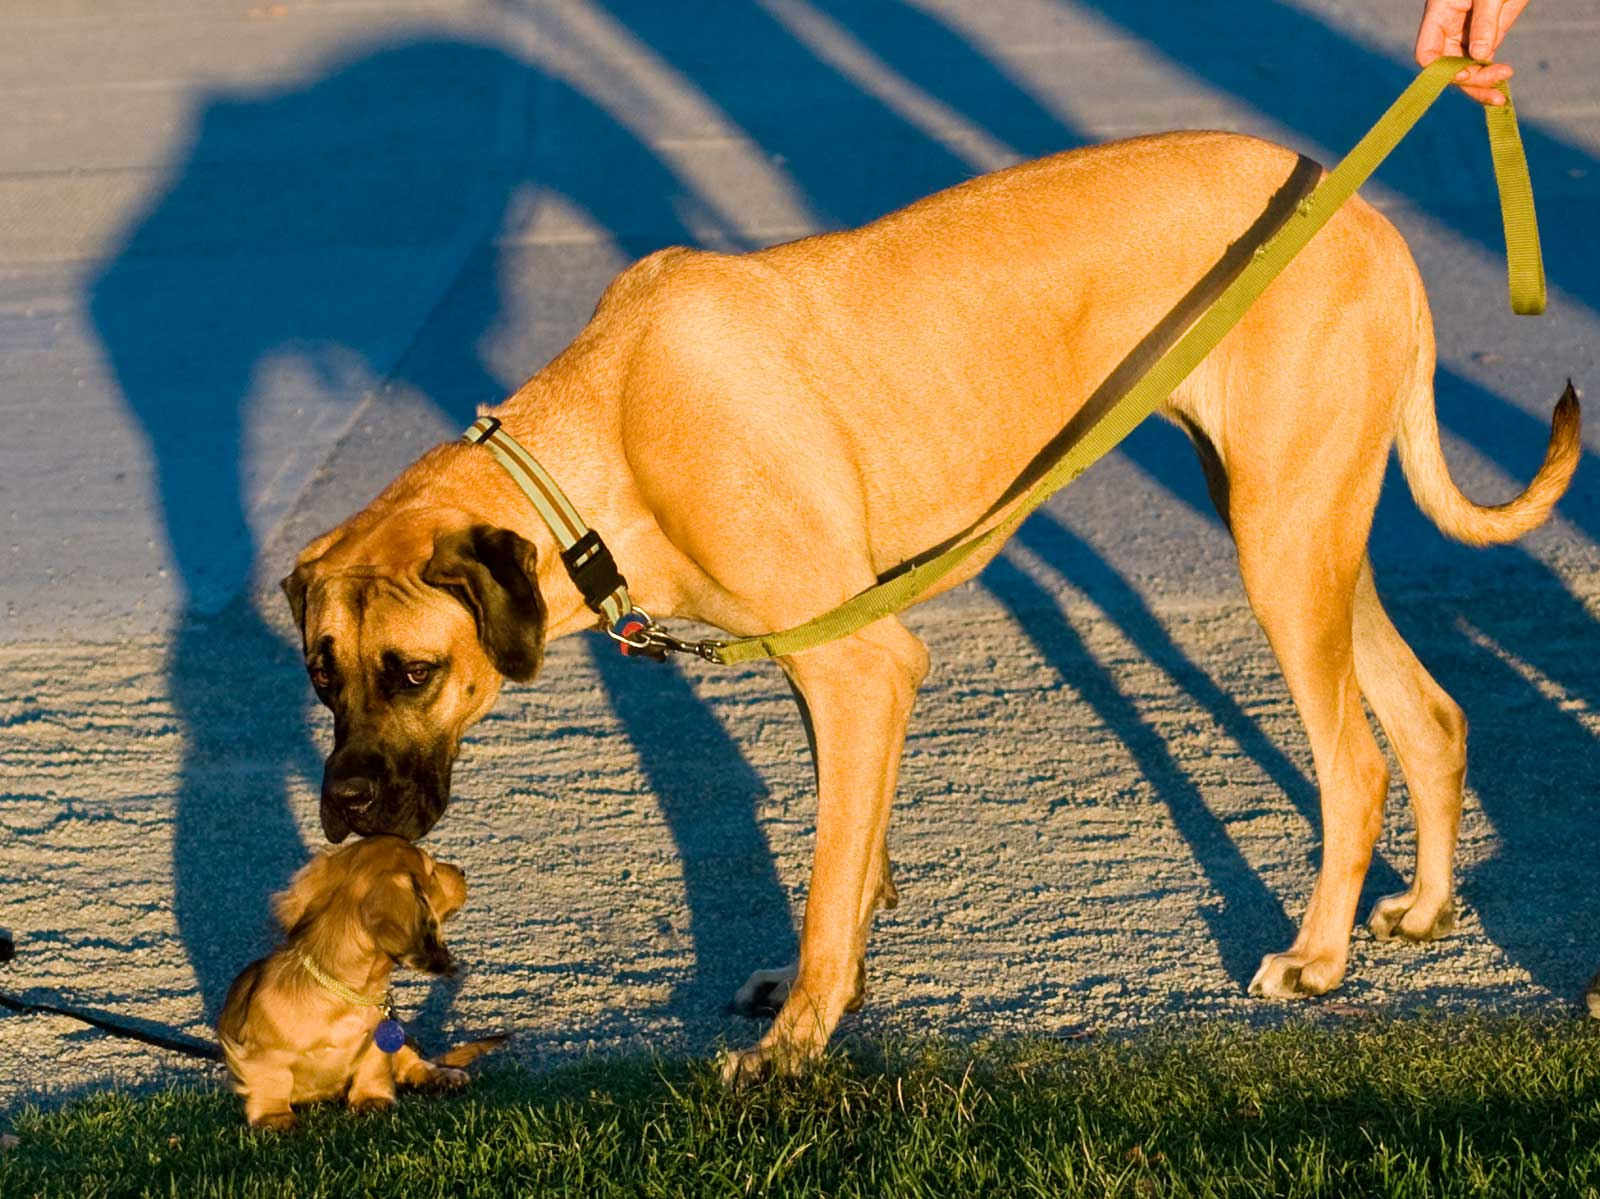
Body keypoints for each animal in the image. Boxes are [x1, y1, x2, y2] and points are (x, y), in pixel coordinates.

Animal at [216, 838, 496, 1126]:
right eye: (431, 871)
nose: (462, 871)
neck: (344, 993)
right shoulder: (266, 1054)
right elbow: (273, 1081)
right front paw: (274, 1116)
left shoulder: (377, 1040)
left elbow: (374, 1068)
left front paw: (372, 1100)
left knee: (413, 1064)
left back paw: (444, 1076)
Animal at [284, 131, 1574, 1075]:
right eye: (318, 671)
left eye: (413, 669)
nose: (341, 806)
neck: (601, 446)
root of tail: (1370, 222)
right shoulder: (830, 657)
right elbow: (848, 849)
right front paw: (834, 982)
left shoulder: (860, 667)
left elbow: (824, 873)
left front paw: (794, 1043)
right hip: (1300, 526)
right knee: (1430, 716)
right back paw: (1424, 909)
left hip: (1279, 539)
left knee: (1353, 760)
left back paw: (1315, 957)